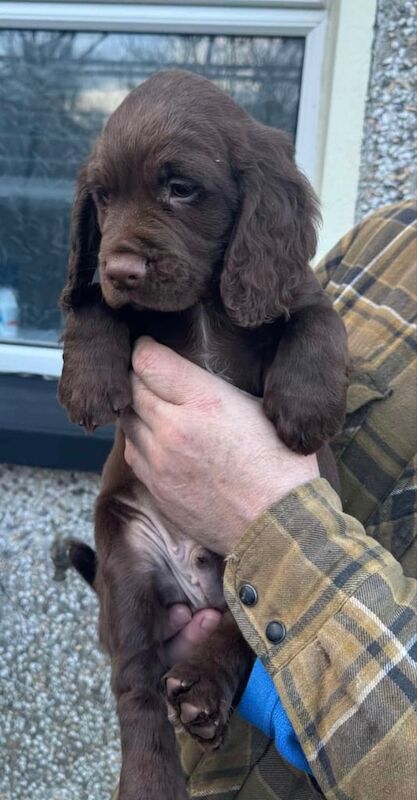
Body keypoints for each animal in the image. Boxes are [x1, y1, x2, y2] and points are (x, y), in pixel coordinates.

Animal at [56, 70, 348, 800]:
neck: (207, 302)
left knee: (248, 634)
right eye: (102, 197)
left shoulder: (284, 285)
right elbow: (89, 301)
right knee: (135, 685)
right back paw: (150, 775)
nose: (124, 268)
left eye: (180, 188)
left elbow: (318, 317)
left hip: (250, 560)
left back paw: (204, 694)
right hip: (126, 570)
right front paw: (89, 380)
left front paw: (306, 407)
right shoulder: (106, 285)